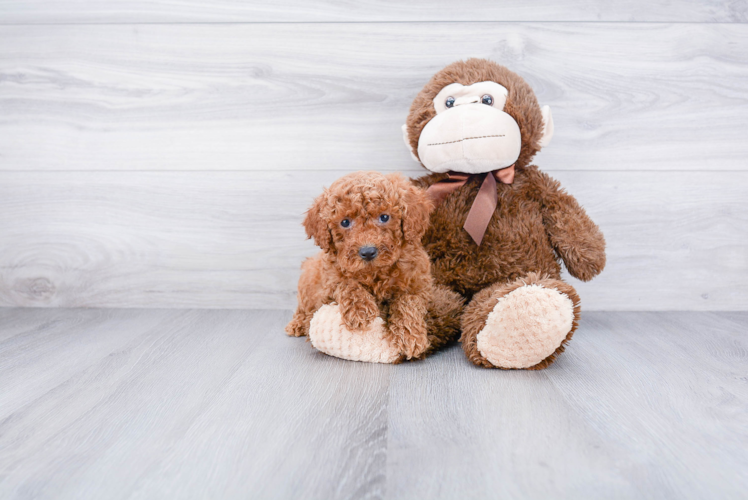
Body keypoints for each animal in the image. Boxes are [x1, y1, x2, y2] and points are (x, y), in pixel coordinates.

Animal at [284, 171, 462, 360]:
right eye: (345, 222)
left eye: (384, 217)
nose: (368, 252)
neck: (374, 272)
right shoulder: (328, 284)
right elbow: (346, 283)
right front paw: (359, 311)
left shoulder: (418, 285)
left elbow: (408, 302)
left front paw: (409, 336)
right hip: (307, 279)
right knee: (303, 308)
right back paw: (297, 324)